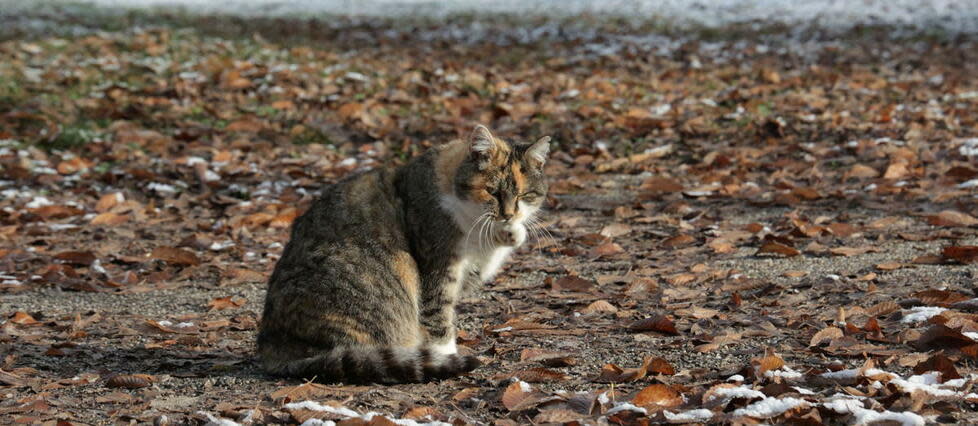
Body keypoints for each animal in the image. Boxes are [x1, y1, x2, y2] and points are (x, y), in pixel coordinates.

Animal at [255, 124, 548, 382]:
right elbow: (437, 317)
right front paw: (445, 356)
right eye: (492, 191)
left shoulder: (472, 268)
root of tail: (271, 348)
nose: (508, 214)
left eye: (524, 195)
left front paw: (513, 231)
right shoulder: (437, 266)